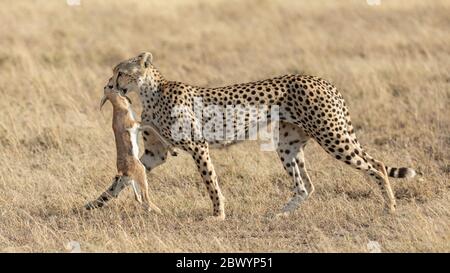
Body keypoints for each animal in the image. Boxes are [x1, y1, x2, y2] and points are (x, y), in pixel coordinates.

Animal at [98, 51, 414, 219]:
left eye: (121, 72)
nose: (109, 84)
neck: (151, 92)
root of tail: (320, 79)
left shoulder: (198, 146)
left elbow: (210, 182)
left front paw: (218, 214)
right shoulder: (156, 153)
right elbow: (122, 177)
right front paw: (94, 205)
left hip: (332, 136)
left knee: (377, 165)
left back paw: (390, 207)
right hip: (288, 144)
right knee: (306, 186)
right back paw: (280, 214)